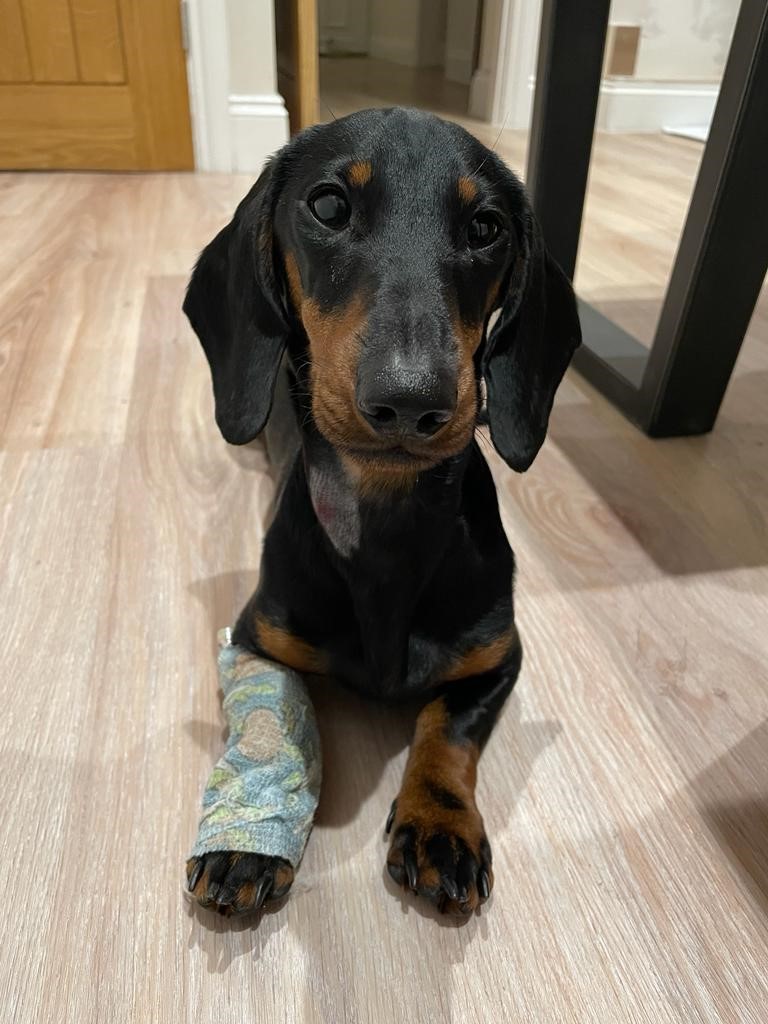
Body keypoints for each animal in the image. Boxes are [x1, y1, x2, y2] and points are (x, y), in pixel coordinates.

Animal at [183, 108, 581, 917]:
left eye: (487, 226)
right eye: (329, 205)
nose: (410, 399)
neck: (386, 530)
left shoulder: (498, 658)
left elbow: (445, 730)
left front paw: (439, 826)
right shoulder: (258, 639)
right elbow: (281, 710)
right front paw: (248, 837)